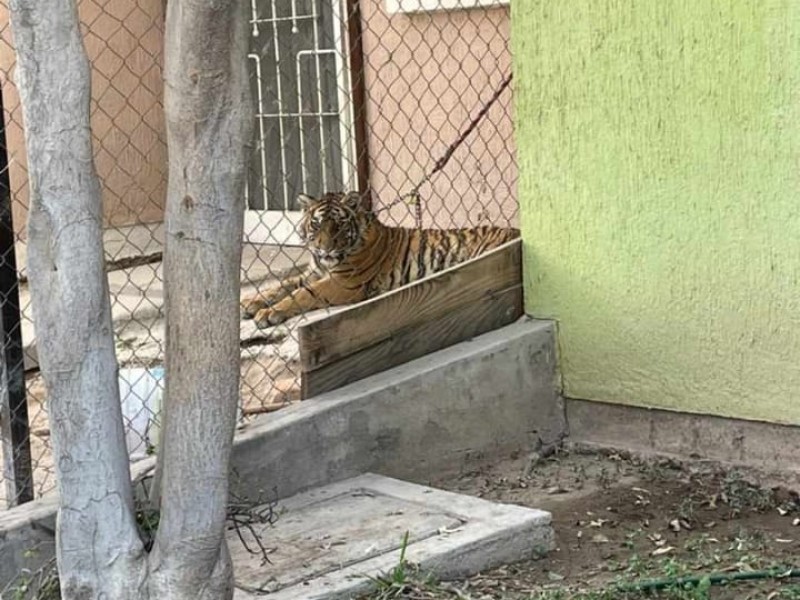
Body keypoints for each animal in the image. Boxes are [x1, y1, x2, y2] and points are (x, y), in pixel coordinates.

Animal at [241, 192, 520, 328]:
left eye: (338, 225)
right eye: (317, 224)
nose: (325, 248)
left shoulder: (342, 284)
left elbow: (301, 294)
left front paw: (268, 314)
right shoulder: (314, 273)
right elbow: (281, 285)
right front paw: (249, 302)